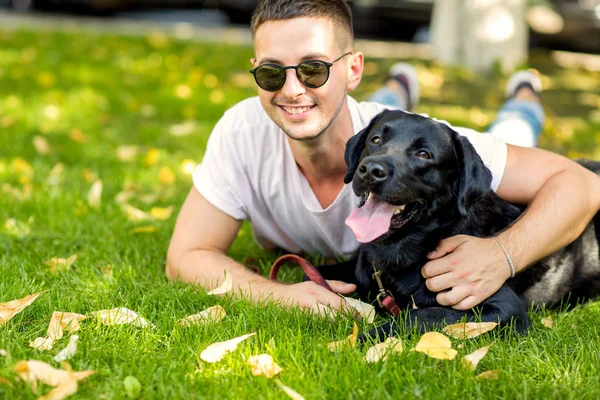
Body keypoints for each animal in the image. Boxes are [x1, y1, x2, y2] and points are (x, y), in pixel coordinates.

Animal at [312, 110, 600, 340]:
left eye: (424, 154)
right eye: (375, 140)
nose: (371, 170)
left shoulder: (503, 309)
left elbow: (421, 315)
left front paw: (357, 341)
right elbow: (311, 273)